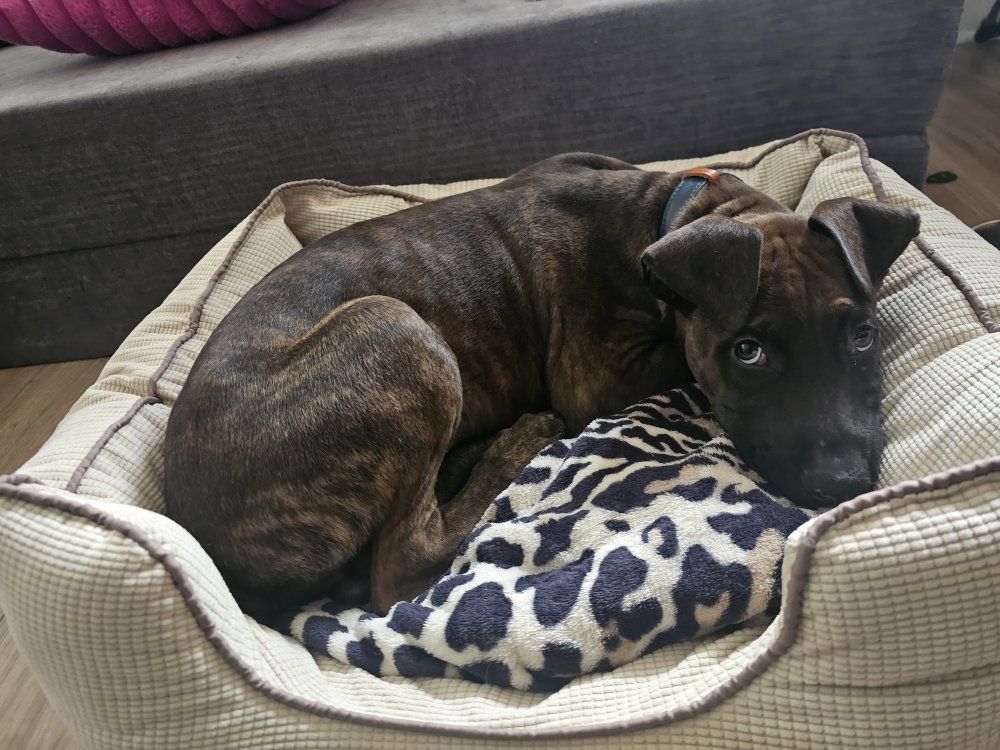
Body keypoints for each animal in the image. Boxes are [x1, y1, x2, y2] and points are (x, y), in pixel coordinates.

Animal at [164, 153, 919, 617]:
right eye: (749, 351)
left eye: (863, 336)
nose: (843, 484)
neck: (668, 217)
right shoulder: (595, 378)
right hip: (393, 327)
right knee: (402, 562)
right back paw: (516, 441)